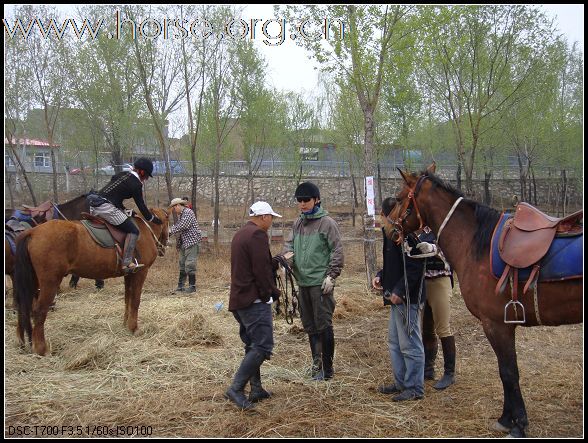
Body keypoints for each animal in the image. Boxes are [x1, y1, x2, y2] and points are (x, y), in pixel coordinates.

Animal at [12, 208, 169, 358]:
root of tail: (32, 232)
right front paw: (134, 328)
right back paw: (41, 349)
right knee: (39, 311)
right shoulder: (140, 273)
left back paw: (21, 342)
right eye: (168, 220)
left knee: (23, 308)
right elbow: (135, 301)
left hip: (32, 283)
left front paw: (126, 325)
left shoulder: (129, 275)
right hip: (49, 283)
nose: (165, 245)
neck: (144, 228)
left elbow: (127, 300)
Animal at [390, 165, 584, 438]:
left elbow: (508, 373)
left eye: (398, 198)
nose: (389, 229)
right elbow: (507, 372)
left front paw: (518, 424)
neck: (474, 242)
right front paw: (507, 419)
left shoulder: (496, 325)